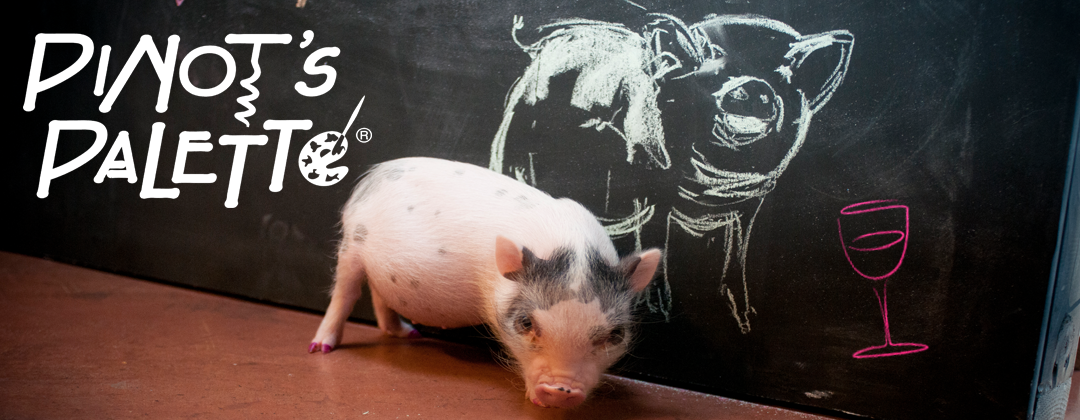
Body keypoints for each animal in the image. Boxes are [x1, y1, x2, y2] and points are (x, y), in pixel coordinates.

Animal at [308, 157, 662, 409]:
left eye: (616, 335)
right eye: (525, 323)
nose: (562, 390)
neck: (573, 249)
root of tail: (371, 178)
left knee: (380, 296)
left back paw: (408, 334)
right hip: (351, 246)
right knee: (345, 292)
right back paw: (320, 348)